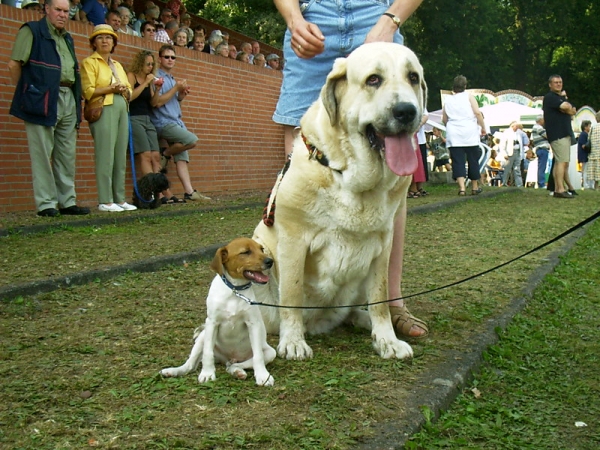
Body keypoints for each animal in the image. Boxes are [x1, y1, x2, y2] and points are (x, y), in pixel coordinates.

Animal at [161, 239, 276, 386]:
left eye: (261, 249)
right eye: (245, 252)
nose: (270, 261)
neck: (235, 290)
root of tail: (229, 358)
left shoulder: (253, 323)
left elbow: (258, 356)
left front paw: (263, 376)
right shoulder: (212, 322)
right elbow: (207, 353)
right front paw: (207, 373)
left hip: (270, 352)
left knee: (234, 365)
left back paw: (237, 371)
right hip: (202, 337)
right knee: (190, 365)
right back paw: (173, 371)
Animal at [253, 41, 426, 358]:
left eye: (413, 77)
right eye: (373, 79)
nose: (406, 111)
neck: (350, 175)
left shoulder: (383, 246)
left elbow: (381, 297)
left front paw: (387, 339)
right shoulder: (294, 240)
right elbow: (292, 294)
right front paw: (293, 341)